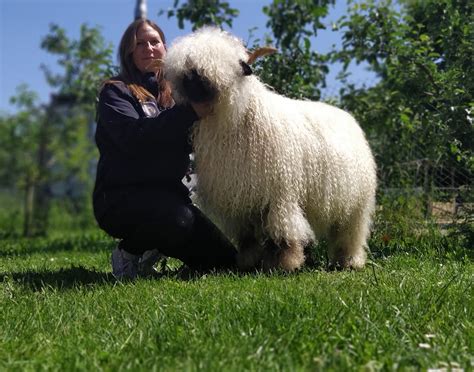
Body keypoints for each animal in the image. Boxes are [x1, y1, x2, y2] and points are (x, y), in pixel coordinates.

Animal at [164, 26, 378, 270]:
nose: (190, 78)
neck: (238, 117)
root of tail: (347, 117)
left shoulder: (280, 193)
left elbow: (283, 229)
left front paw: (286, 262)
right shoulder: (242, 199)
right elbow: (247, 236)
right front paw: (249, 261)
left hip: (356, 203)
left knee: (351, 232)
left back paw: (349, 261)